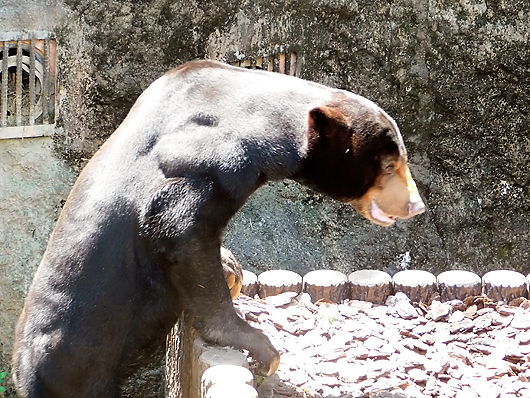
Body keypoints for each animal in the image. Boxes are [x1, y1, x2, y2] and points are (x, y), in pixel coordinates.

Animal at [12, 59, 422, 398]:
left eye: (400, 160)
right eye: (389, 166)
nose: (416, 205)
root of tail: (22, 370)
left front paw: (232, 268)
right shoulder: (216, 156)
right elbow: (179, 228)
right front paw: (259, 344)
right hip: (80, 360)